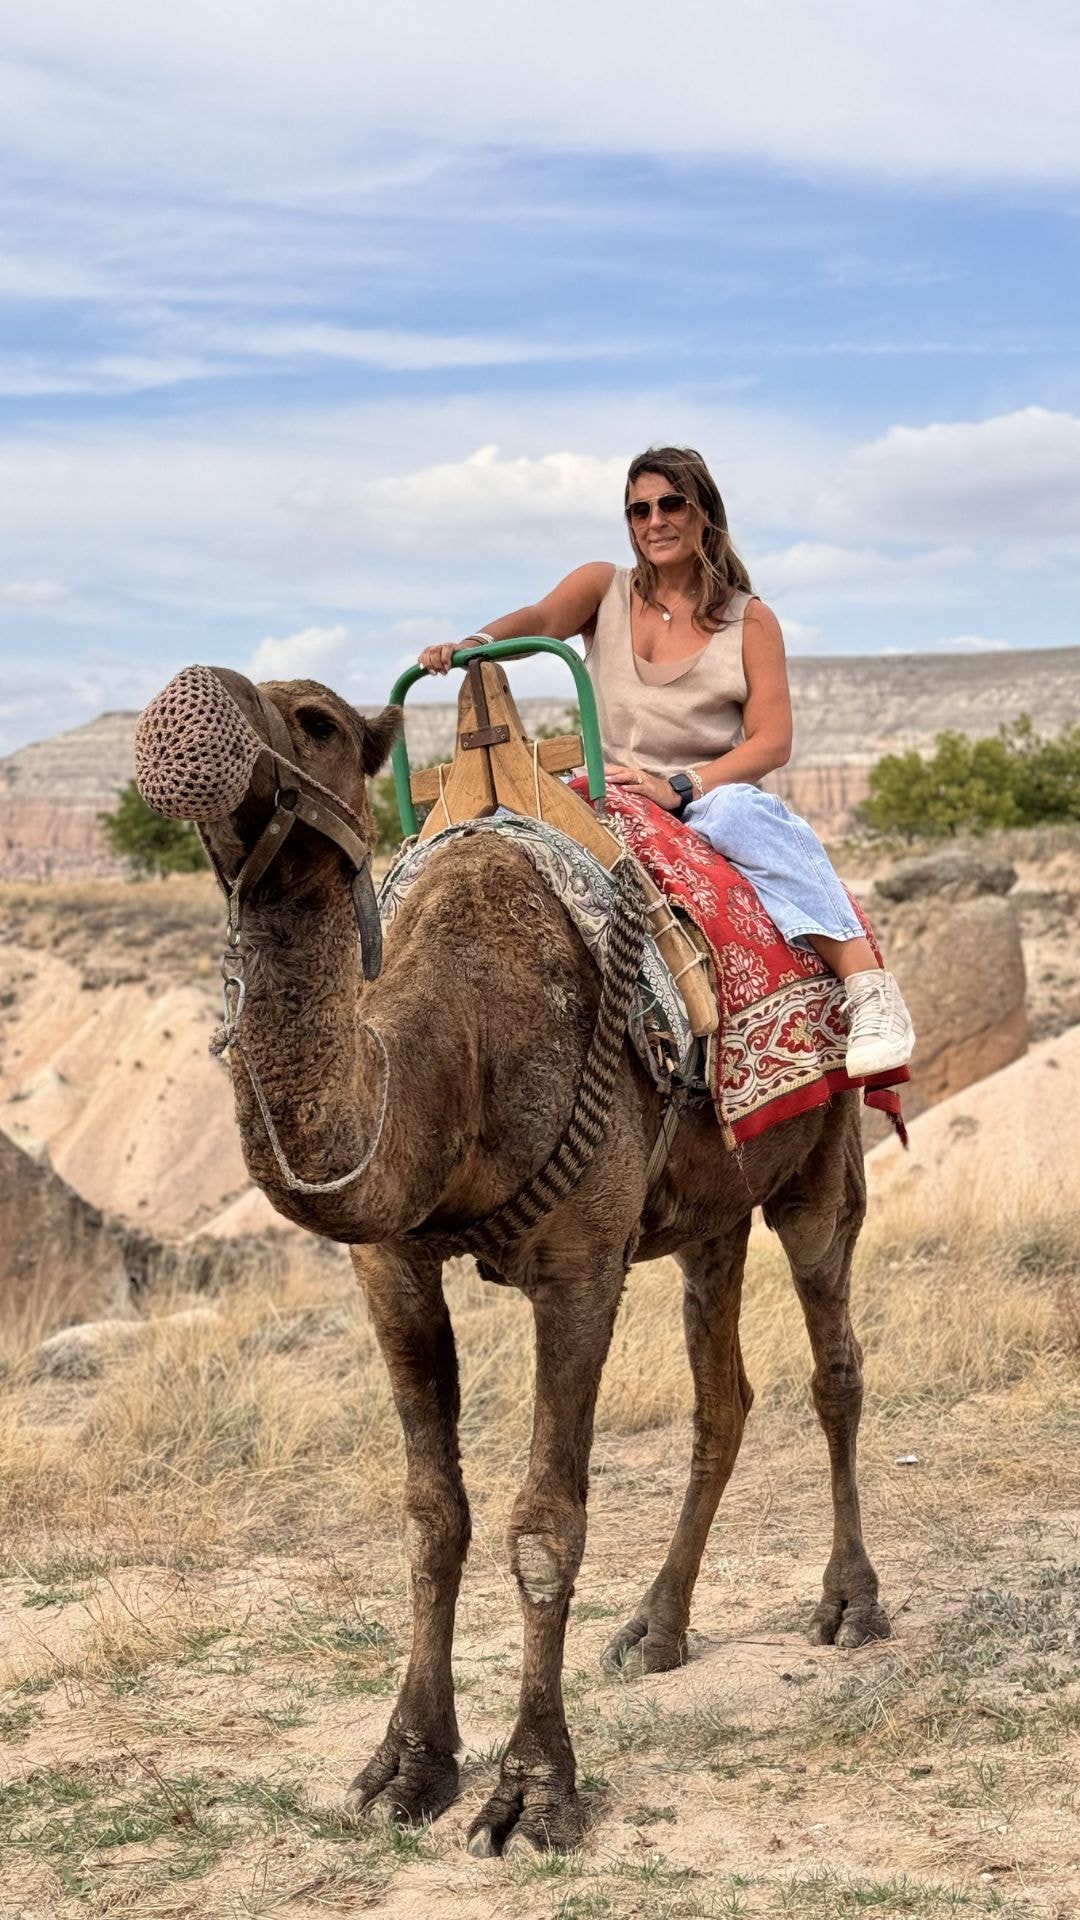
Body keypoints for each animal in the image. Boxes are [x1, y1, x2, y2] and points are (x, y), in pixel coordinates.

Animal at [138, 672, 887, 1858]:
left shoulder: (581, 1262)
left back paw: (850, 1603)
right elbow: (431, 1514)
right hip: (707, 1215)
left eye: (319, 723)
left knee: (835, 1365)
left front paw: (533, 1792)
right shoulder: (390, 1266)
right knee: (722, 1396)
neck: (457, 1046)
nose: (187, 706)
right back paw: (657, 1627)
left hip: (818, 1163)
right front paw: (406, 1765)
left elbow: (546, 1525)